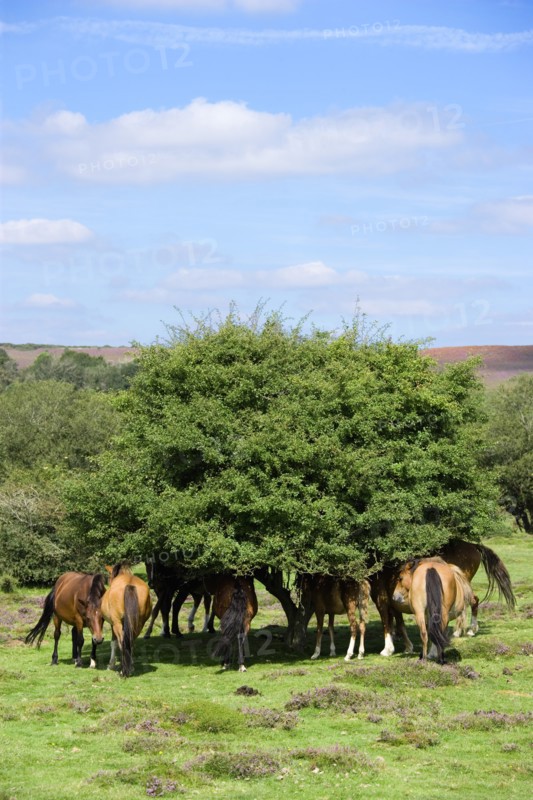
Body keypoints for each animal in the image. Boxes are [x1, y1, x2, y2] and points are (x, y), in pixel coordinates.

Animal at [371, 538, 516, 656]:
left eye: (400, 578)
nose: (395, 596)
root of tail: (473, 546)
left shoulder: (383, 603)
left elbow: (388, 624)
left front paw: (388, 649)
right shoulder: (395, 607)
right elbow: (399, 624)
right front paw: (407, 646)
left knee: (472, 602)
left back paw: (466, 631)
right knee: (471, 603)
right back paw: (465, 631)